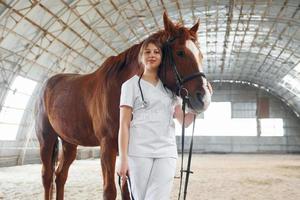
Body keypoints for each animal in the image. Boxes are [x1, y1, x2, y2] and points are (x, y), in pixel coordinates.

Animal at [35, 12, 211, 200]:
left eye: (200, 55)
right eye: (180, 52)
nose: (204, 98)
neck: (118, 87)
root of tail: (46, 85)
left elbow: (127, 190)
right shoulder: (107, 145)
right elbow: (110, 190)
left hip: (69, 143)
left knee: (60, 176)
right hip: (46, 139)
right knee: (47, 176)